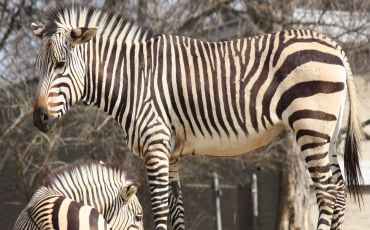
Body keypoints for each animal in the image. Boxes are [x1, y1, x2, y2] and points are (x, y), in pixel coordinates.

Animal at [30, 4, 362, 230]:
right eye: (40, 65)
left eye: (60, 64)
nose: (38, 118)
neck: (135, 80)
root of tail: (336, 47)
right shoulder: (171, 153)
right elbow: (176, 210)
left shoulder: (155, 146)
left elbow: (160, 207)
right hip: (329, 133)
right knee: (340, 191)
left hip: (311, 125)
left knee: (327, 193)